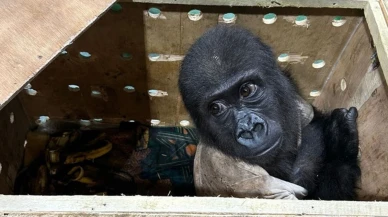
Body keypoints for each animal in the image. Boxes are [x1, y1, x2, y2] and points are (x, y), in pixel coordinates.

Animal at [179, 25, 360, 200]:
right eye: (216, 108)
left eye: (246, 90)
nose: (249, 128)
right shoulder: (235, 174)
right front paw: (340, 144)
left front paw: (339, 139)